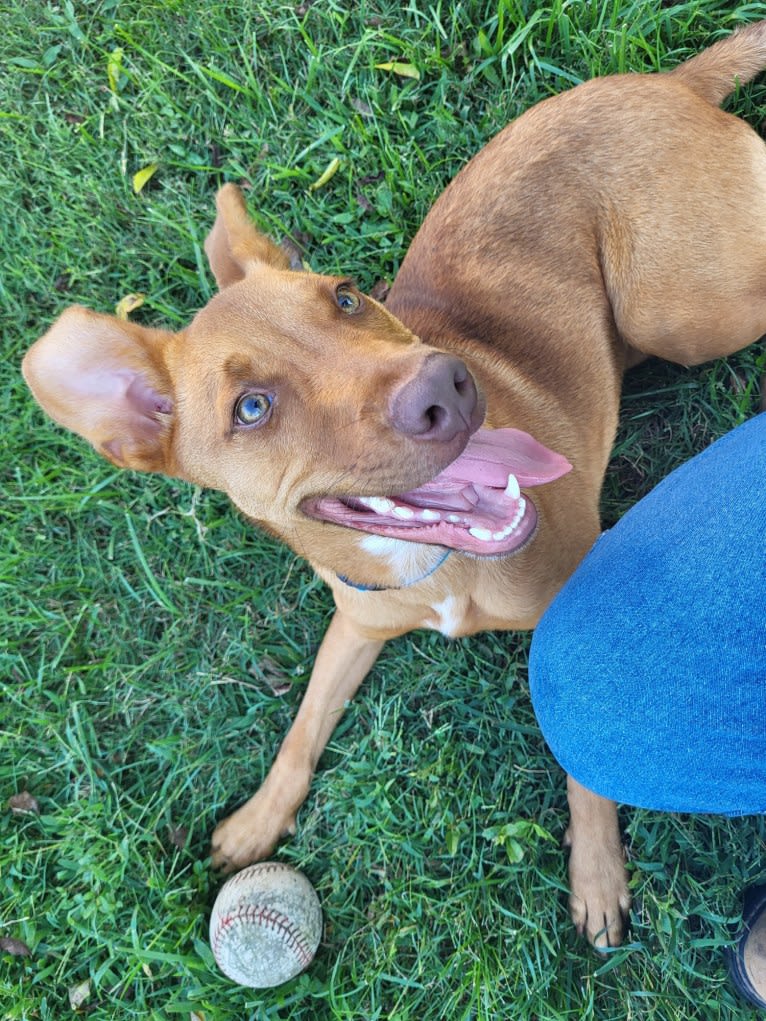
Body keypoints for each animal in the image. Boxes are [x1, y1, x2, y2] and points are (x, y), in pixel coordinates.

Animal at [20, 23, 766, 947]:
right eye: (251, 407)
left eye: (344, 297)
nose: (448, 386)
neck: (429, 566)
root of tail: (673, 84)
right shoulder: (355, 622)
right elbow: (304, 724)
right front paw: (258, 819)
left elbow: (583, 753)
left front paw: (596, 870)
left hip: (681, 312)